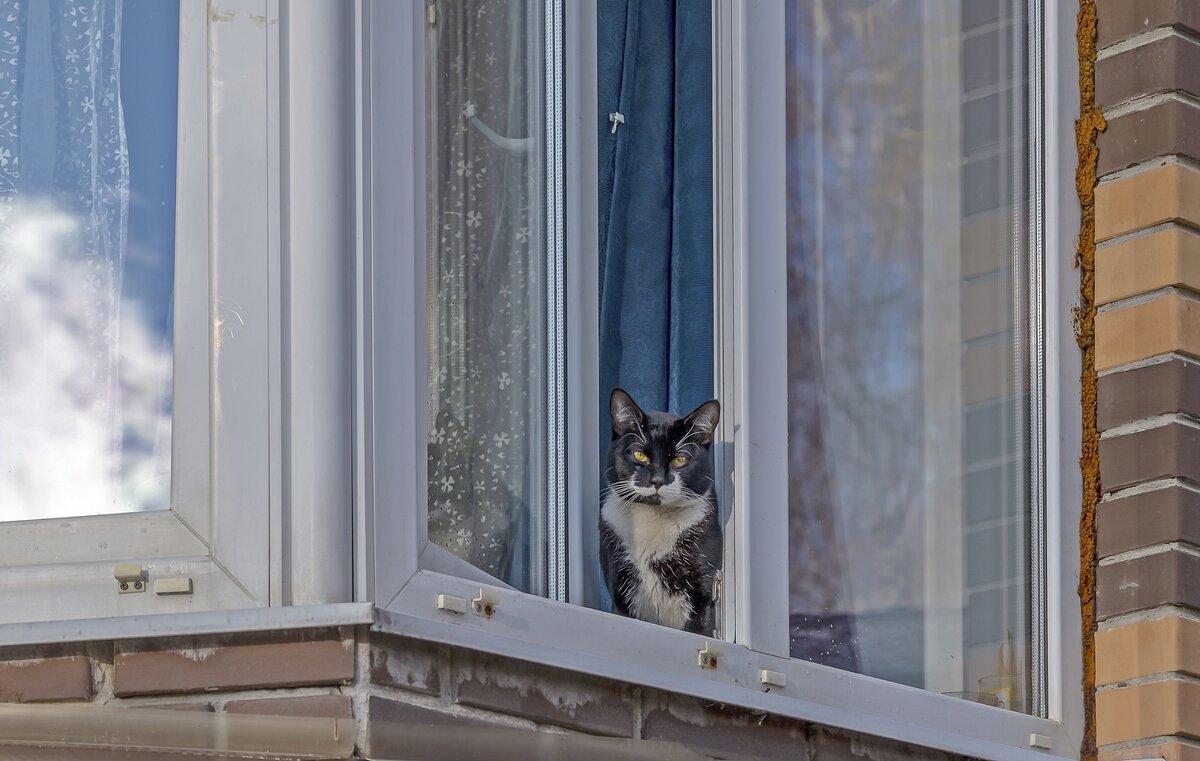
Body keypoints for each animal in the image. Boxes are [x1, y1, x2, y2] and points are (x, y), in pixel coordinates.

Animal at [600, 388, 720, 628]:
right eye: (640, 454)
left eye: (680, 459)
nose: (657, 480)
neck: (652, 518)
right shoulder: (619, 586)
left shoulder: (702, 587)